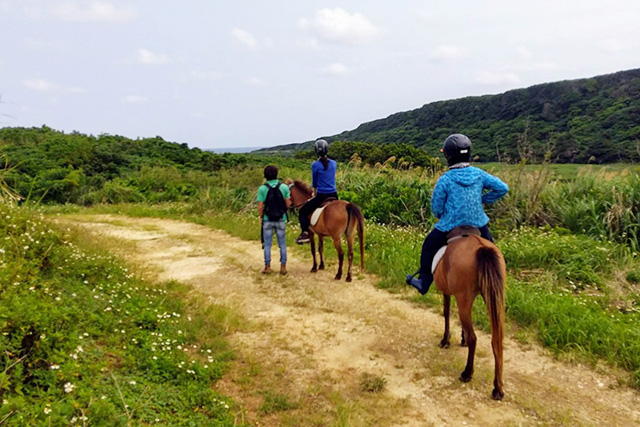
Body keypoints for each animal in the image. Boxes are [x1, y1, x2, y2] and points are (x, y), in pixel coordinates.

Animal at [436, 231, 504, 402]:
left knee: (474, 337)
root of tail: (481, 247)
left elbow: (446, 312)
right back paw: (498, 388)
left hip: (464, 297)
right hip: (493, 297)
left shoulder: (448, 292)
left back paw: (467, 373)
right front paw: (462, 339)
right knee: (497, 340)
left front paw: (446, 340)